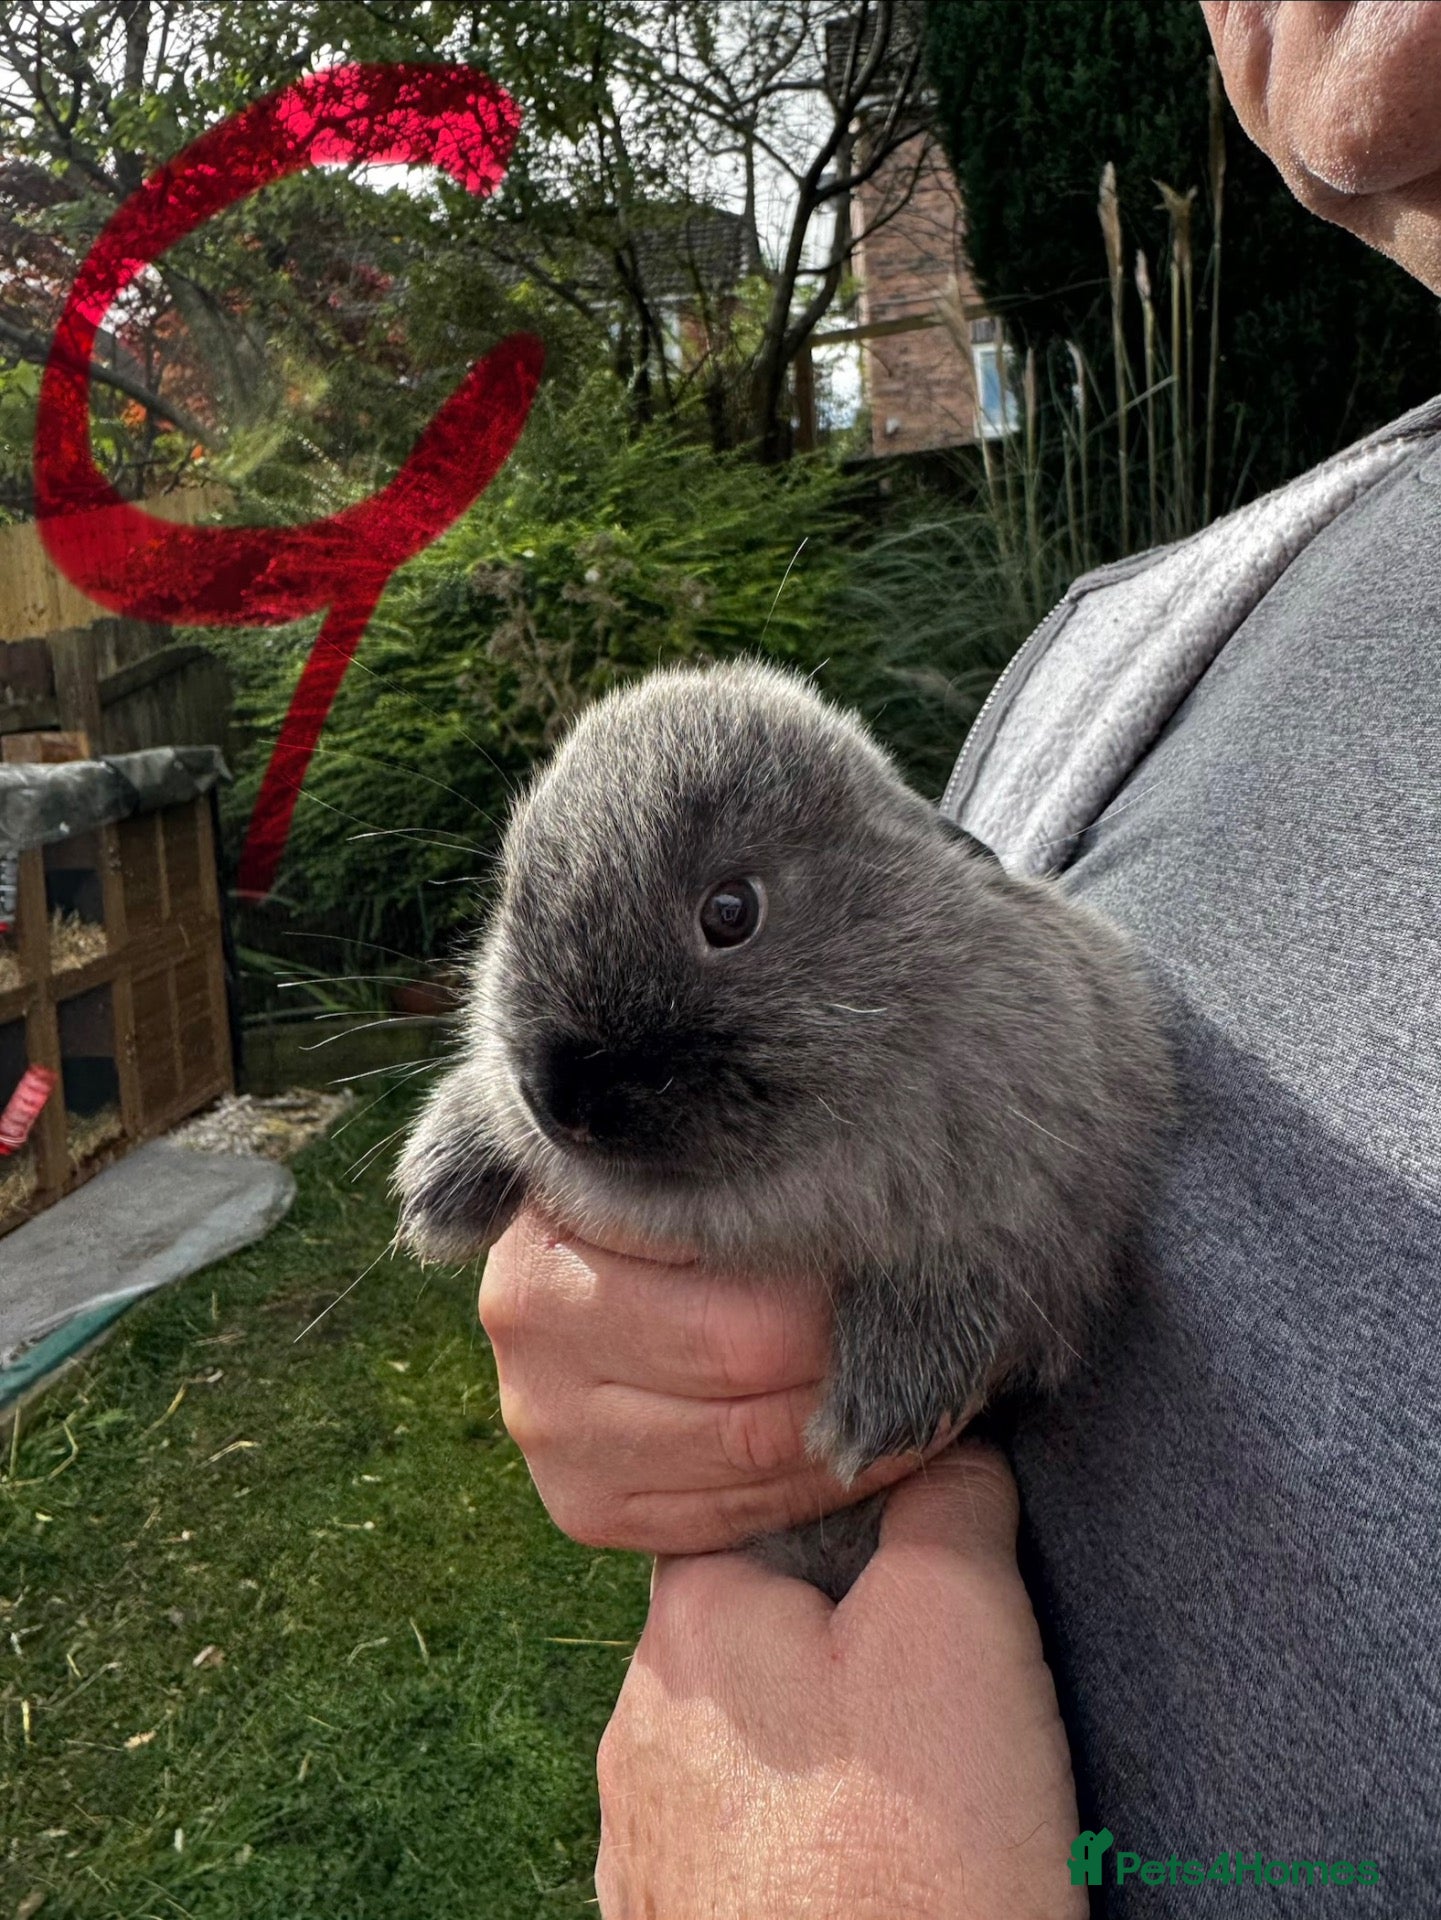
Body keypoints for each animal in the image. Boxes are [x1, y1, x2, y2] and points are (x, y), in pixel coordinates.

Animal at [393, 659, 1174, 1598]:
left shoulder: (1047, 1180)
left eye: (731, 910)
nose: (561, 1103)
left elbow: (973, 1264)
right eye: (514, 902)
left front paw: (882, 1403)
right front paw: (439, 1186)